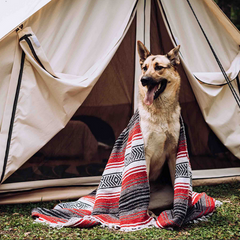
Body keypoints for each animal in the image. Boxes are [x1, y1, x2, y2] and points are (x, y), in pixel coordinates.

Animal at [136, 40, 181, 189]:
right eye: (144, 68)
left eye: (159, 67)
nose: (143, 80)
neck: (160, 113)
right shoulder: (146, 154)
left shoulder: (173, 153)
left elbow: (175, 183)